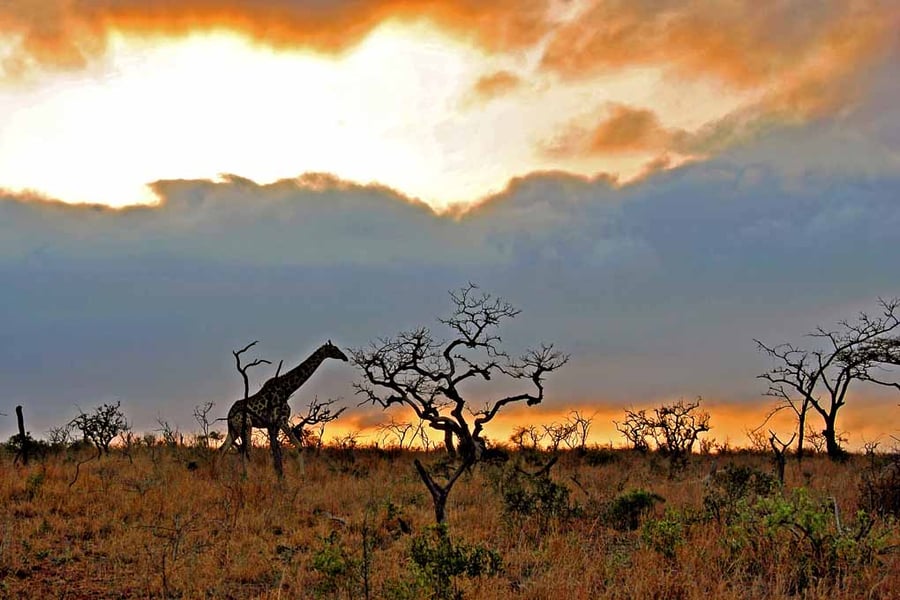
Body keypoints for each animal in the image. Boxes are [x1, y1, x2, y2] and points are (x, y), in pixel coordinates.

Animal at [219, 340, 348, 455]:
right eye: (334, 349)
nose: (345, 357)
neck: (287, 390)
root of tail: (229, 415)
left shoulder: (274, 425)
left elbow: (276, 451)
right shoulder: (282, 420)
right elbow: (299, 447)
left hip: (234, 429)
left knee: (223, 449)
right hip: (246, 425)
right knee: (247, 450)